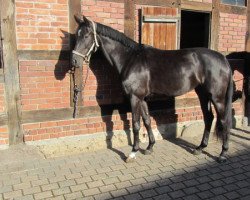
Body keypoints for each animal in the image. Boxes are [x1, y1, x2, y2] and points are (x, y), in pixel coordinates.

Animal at [71, 15, 233, 162]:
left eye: (86, 35)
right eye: (76, 36)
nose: (74, 61)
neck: (130, 59)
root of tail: (223, 59)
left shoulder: (134, 97)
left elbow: (135, 124)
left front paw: (133, 152)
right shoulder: (142, 98)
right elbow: (147, 120)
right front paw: (149, 147)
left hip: (217, 98)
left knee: (224, 120)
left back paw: (223, 153)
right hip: (203, 94)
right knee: (208, 118)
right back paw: (199, 148)